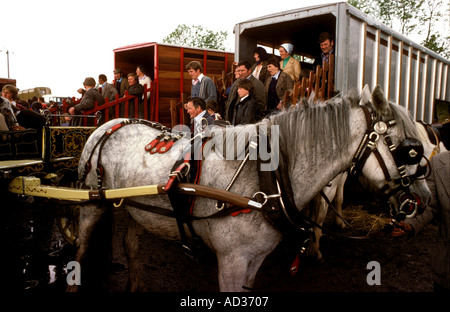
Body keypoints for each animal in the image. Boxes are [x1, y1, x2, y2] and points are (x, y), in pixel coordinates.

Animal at [69, 84, 428, 292]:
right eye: (409, 150)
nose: (421, 200)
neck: (267, 179)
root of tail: (110, 122)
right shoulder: (232, 261)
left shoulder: (254, 259)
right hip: (91, 204)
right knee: (81, 251)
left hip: (133, 208)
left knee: (130, 246)